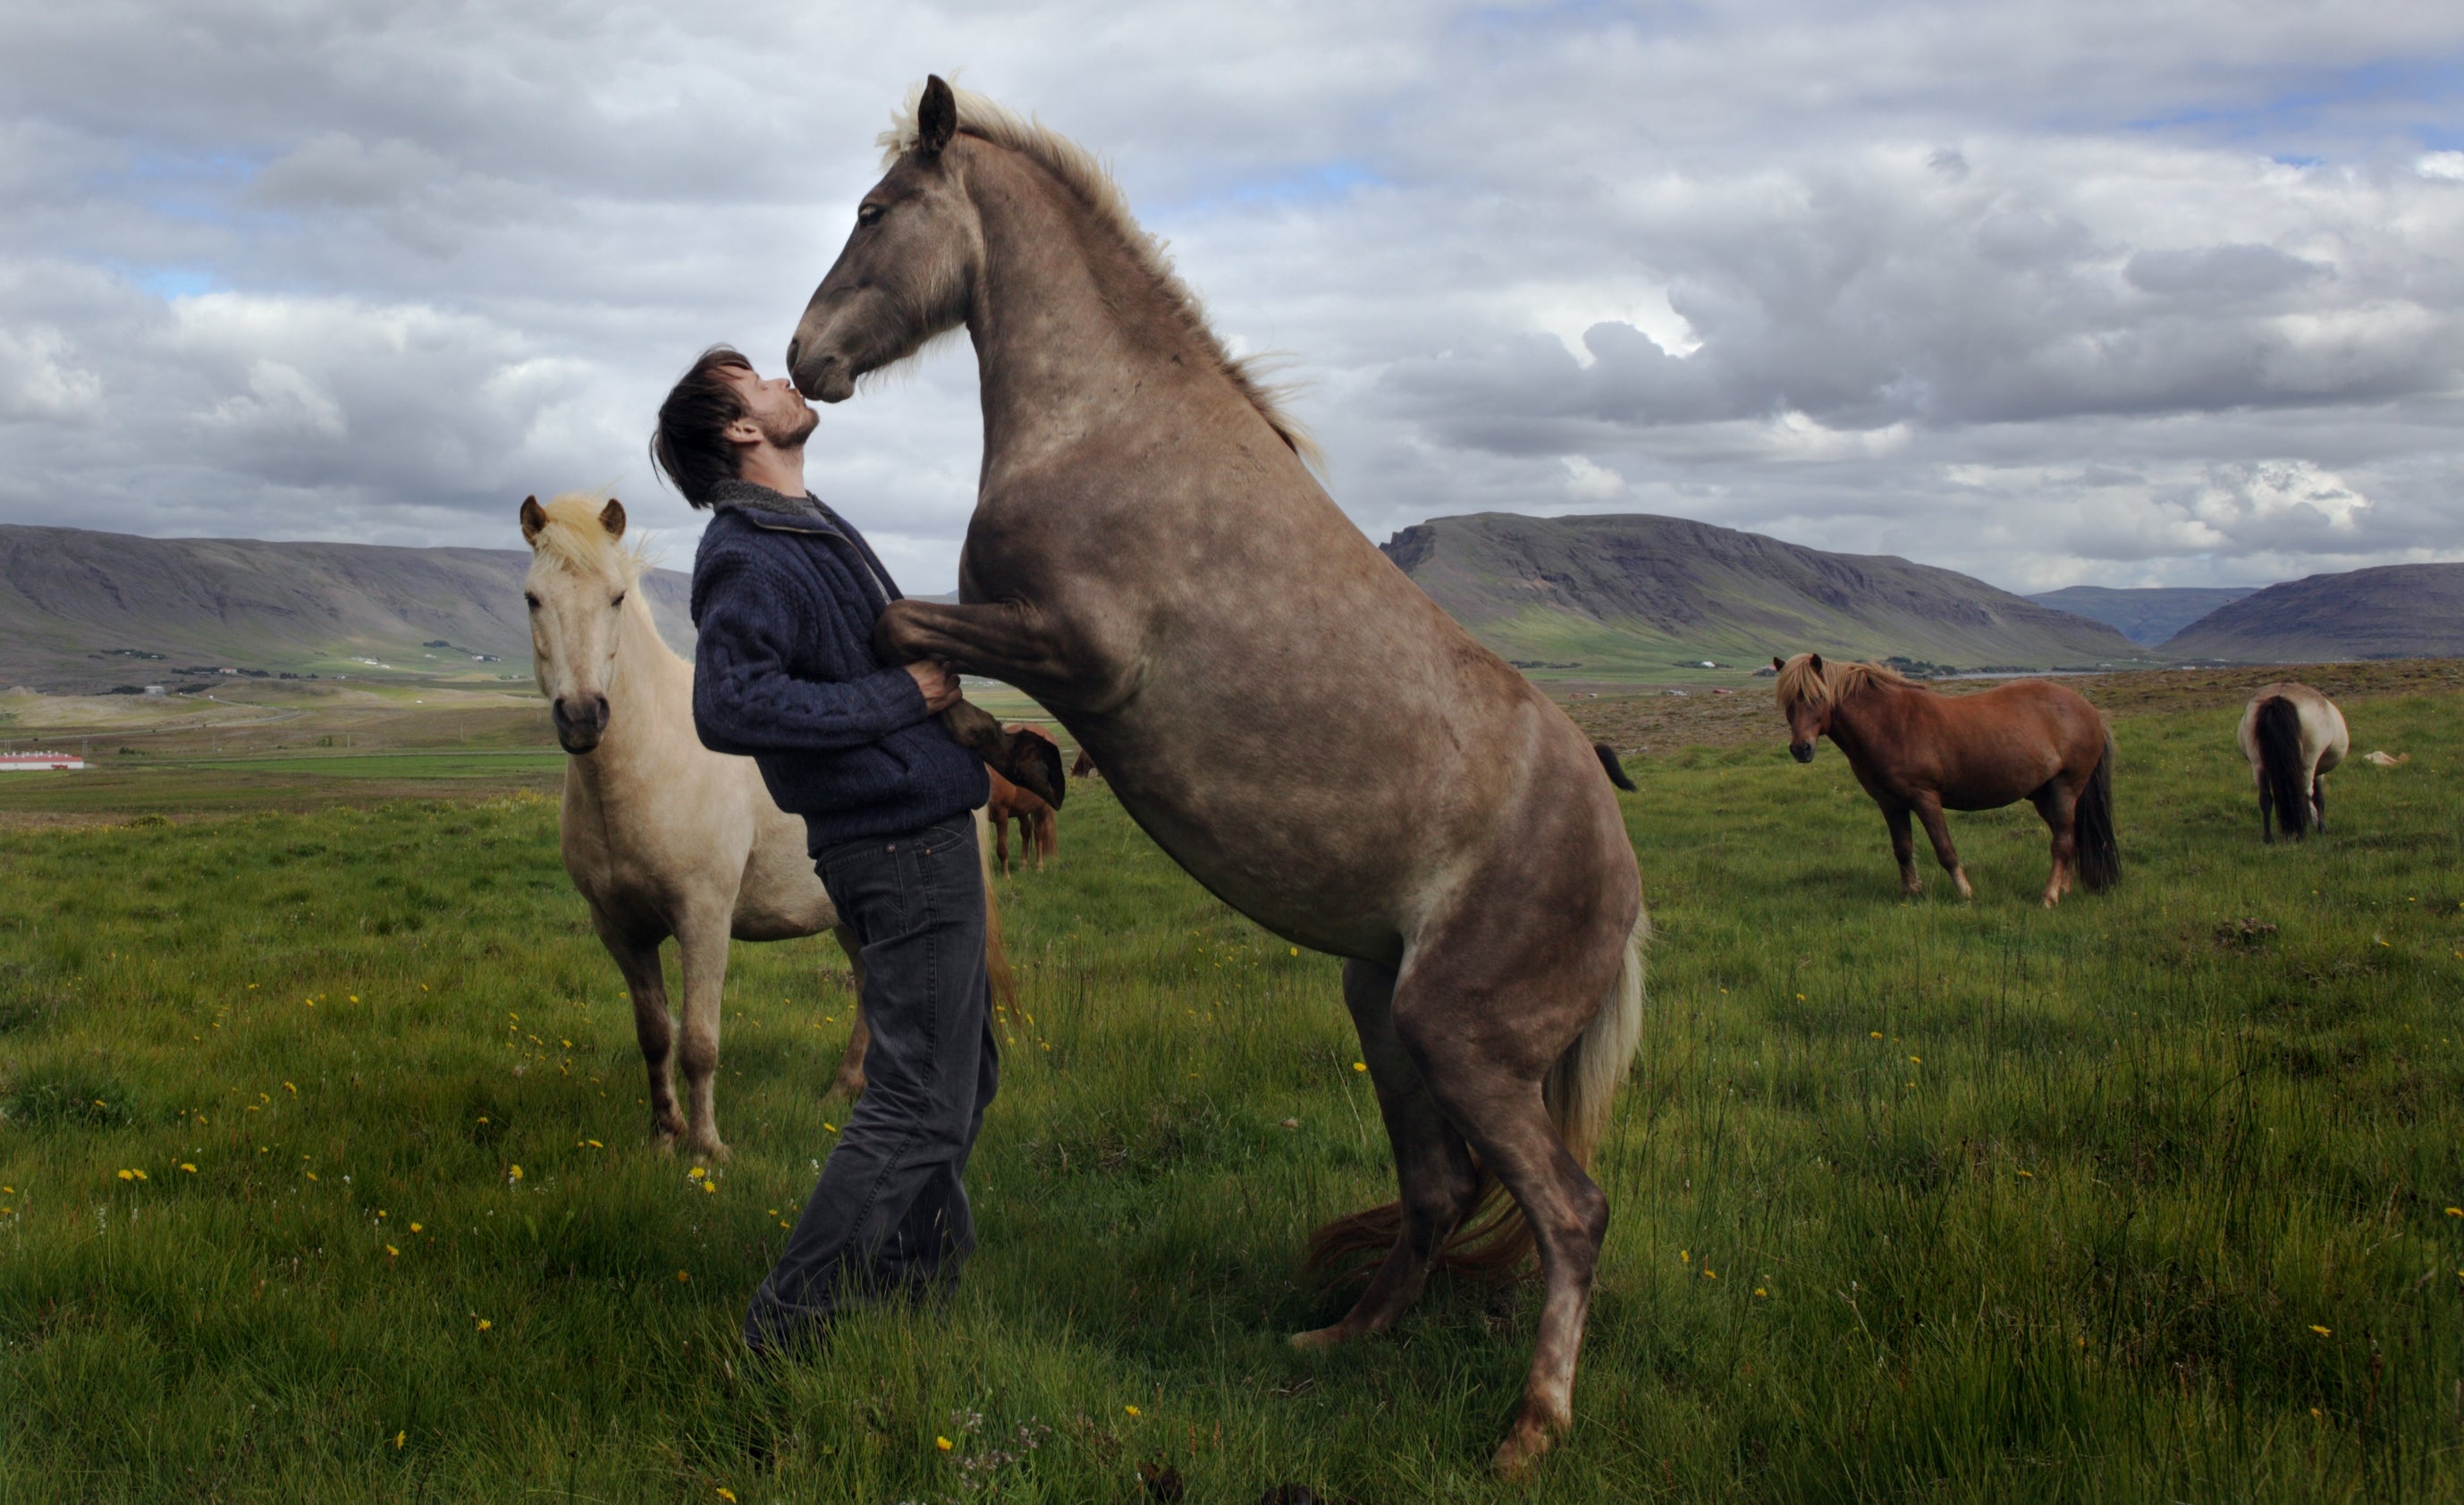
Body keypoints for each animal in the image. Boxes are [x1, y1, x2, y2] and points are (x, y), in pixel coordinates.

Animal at [784, 78, 1645, 1474]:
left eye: (873, 210)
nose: (805, 358)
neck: (1110, 418)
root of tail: (1621, 876)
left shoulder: (1078, 647)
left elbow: (901, 630)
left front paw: (1019, 753)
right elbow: (910, 644)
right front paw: (1023, 757)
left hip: (1463, 1036)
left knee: (1568, 1214)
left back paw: (1529, 1429)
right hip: (1381, 1006)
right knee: (1439, 1190)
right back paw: (1339, 1337)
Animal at [1772, 653, 2118, 907]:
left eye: (1816, 697)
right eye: (1788, 701)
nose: (1801, 749)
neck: (1887, 724)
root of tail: (2089, 711)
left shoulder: (1925, 797)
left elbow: (1945, 849)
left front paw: (1966, 893)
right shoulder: (1890, 803)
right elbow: (1903, 849)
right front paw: (1910, 894)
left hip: (2064, 789)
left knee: (2061, 844)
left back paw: (2048, 897)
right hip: (2045, 796)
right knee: (2070, 838)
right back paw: (2064, 890)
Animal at [2237, 682, 2347, 841]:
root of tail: (2279, 697)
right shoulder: (2318, 772)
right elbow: (2319, 798)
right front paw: (2321, 828)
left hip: (2258, 765)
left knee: (2265, 798)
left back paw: (2268, 838)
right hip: (2308, 764)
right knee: (2304, 793)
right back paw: (2301, 833)